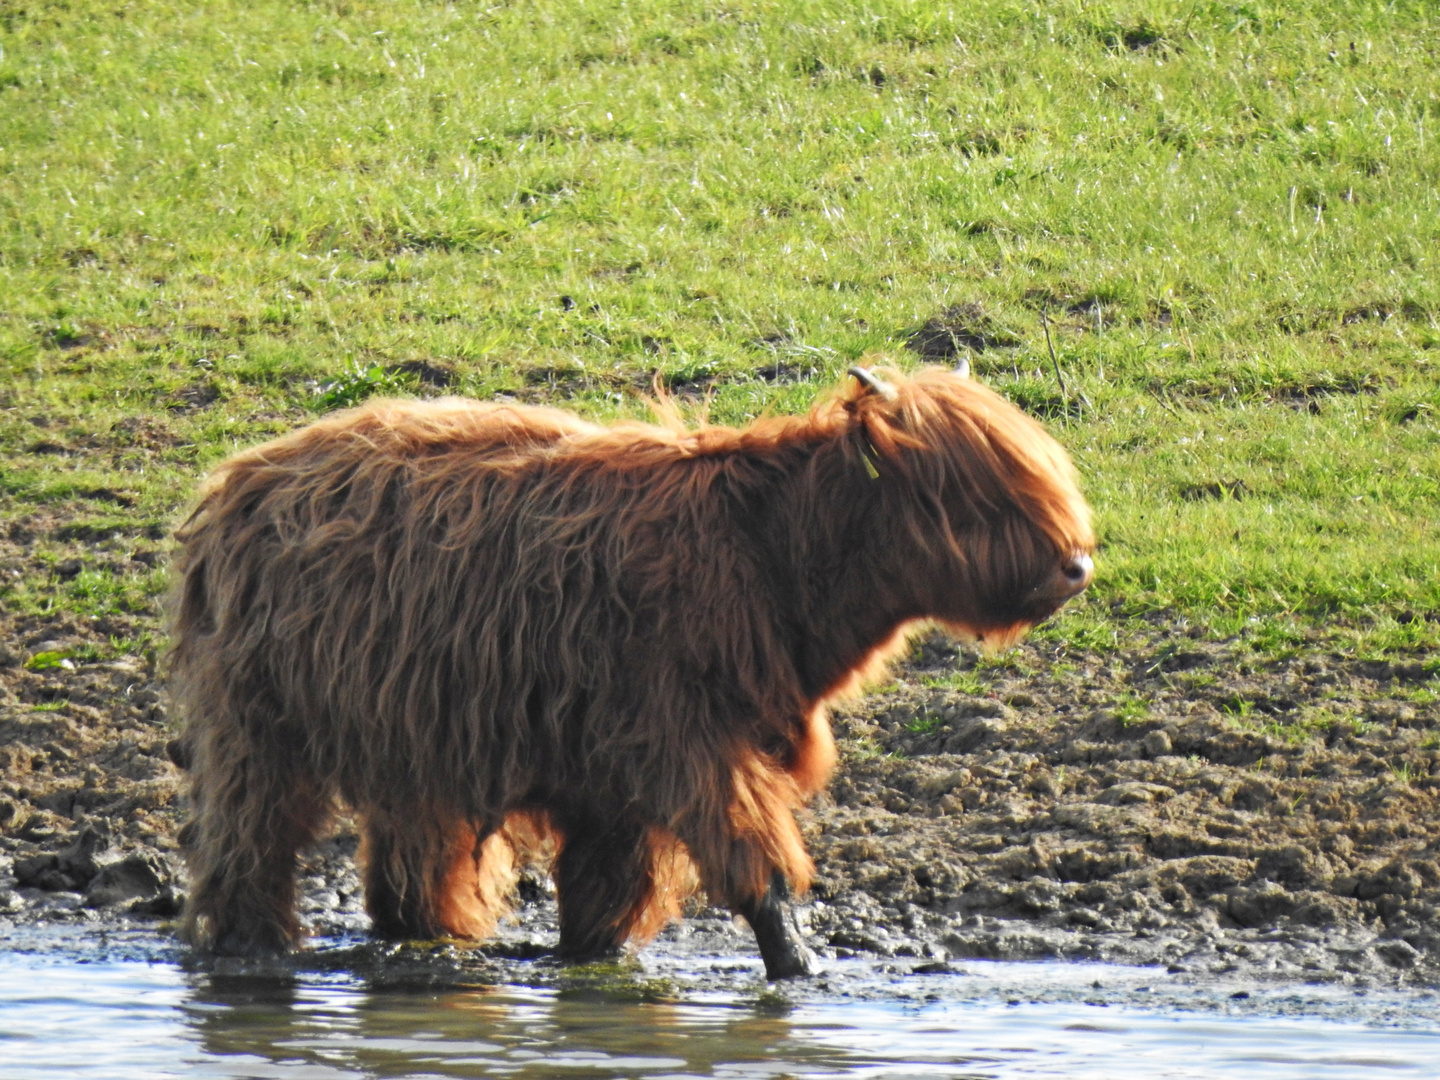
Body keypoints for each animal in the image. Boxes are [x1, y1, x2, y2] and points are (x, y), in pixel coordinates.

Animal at [168, 364, 1088, 979]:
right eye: (968, 488)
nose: (1075, 566)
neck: (770, 547)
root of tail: (239, 478)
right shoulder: (684, 741)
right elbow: (758, 868)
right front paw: (800, 969)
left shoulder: (614, 782)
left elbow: (605, 900)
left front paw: (592, 966)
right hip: (257, 730)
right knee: (248, 846)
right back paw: (252, 948)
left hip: (409, 740)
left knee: (409, 872)